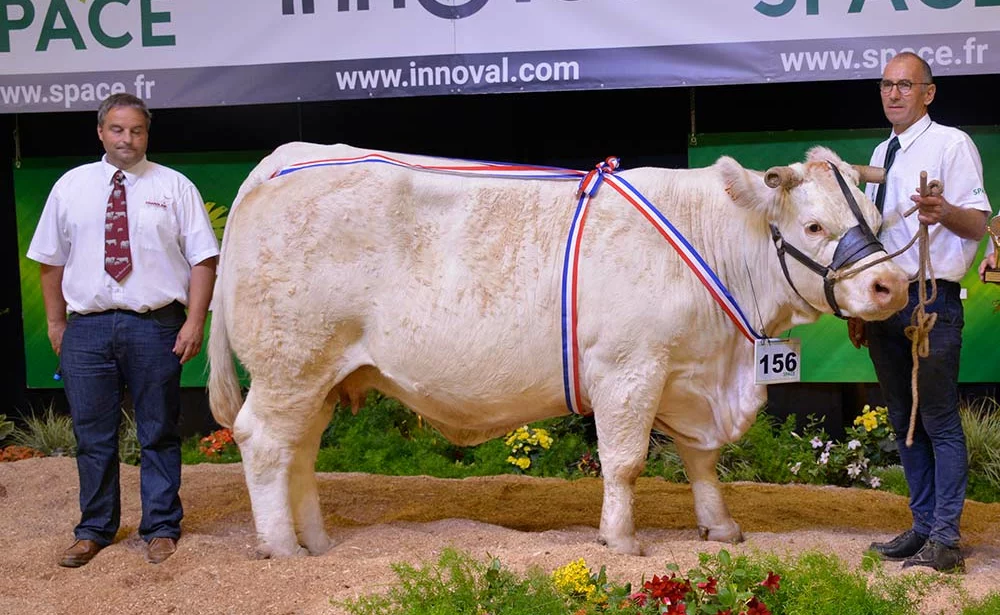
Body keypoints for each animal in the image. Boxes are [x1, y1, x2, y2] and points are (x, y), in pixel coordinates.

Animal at [209, 143, 908, 560]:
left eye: (876, 218)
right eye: (813, 226)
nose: (891, 285)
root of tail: (284, 159)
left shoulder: (688, 375)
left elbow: (702, 460)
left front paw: (720, 528)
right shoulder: (630, 369)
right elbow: (625, 463)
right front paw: (620, 541)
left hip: (319, 375)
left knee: (300, 451)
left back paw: (317, 542)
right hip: (290, 362)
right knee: (265, 442)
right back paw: (282, 548)